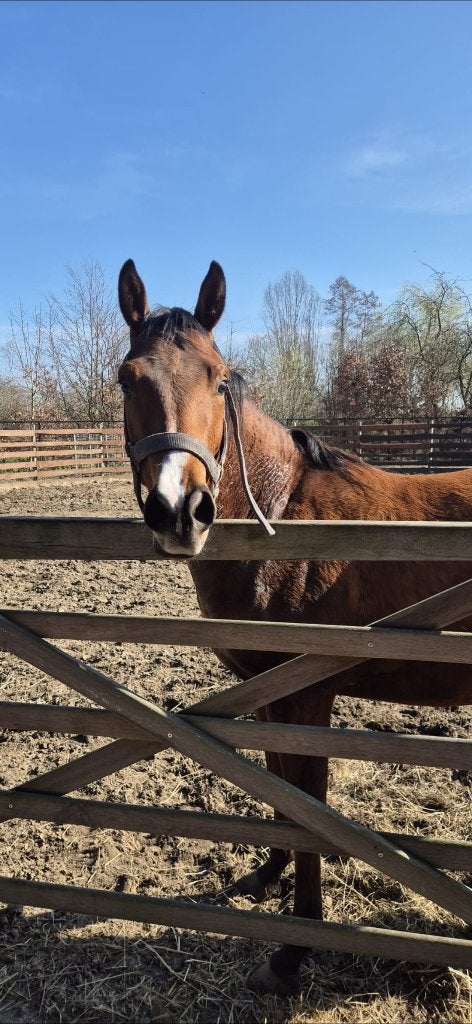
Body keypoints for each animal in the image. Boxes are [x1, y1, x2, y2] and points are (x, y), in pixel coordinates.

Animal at [118, 257, 472, 996]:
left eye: (219, 378)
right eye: (126, 378)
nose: (178, 510)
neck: (281, 517)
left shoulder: (309, 696)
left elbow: (310, 804)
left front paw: (294, 947)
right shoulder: (265, 693)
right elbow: (278, 784)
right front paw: (268, 873)